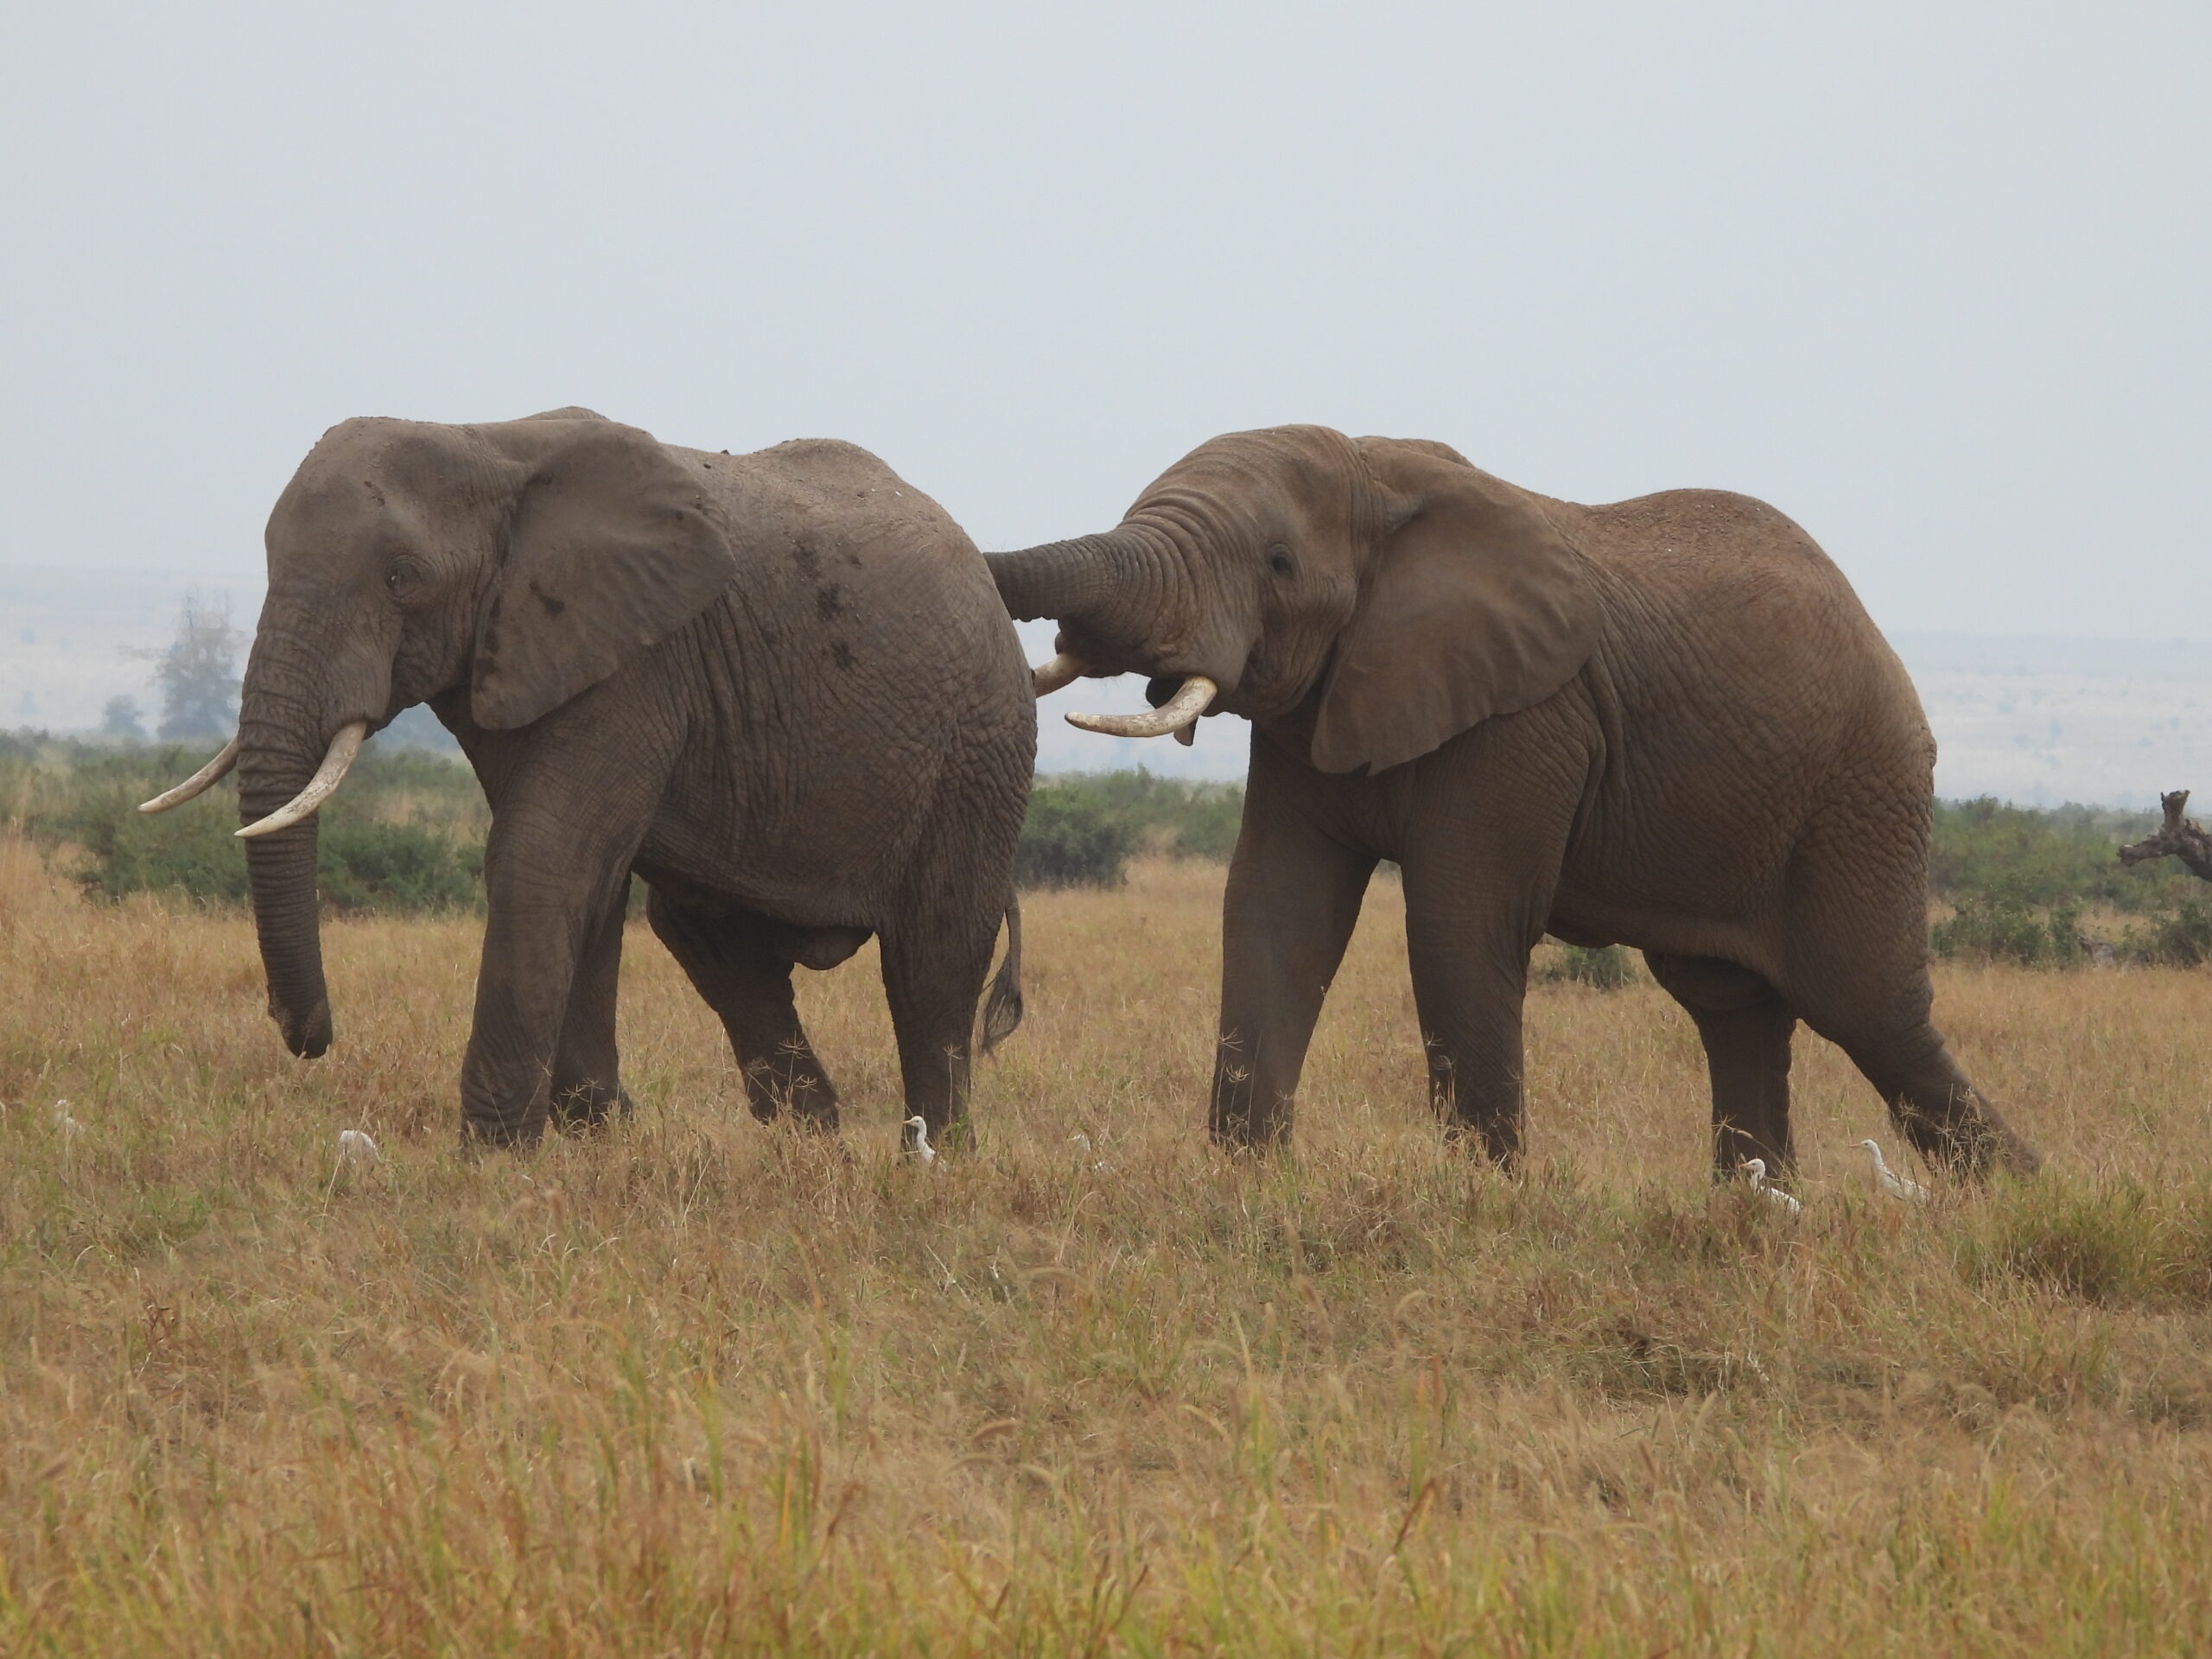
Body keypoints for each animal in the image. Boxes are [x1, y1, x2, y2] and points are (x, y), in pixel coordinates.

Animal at [143, 408, 1034, 1150]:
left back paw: (933, 1157)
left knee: (932, 953)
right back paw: (809, 1143)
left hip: (981, 743)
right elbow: (586, 880)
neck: (484, 444)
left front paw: (495, 1159)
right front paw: (596, 1134)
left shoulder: (639, 661)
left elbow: (542, 860)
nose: (310, 1037)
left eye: (402, 577)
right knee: (718, 947)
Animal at [994, 425, 2039, 1182]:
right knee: (1733, 1006)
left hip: (1863, 787)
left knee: (1867, 1008)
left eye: (1279, 563)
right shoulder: (1311, 715)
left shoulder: (1527, 717)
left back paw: (2023, 1195)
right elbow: (1276, 909)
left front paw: (1484, 1198)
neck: (1374, 470)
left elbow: (1458, 925)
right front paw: (1244, 1184)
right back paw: (1757, 1209)